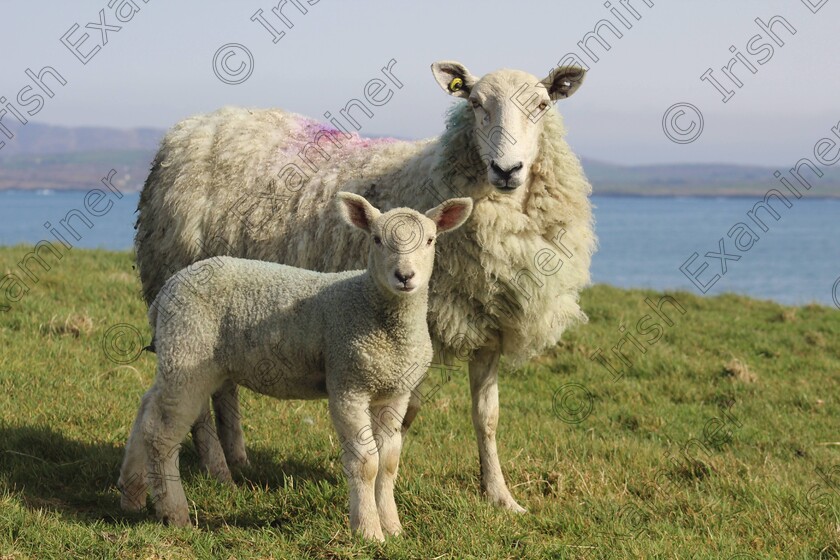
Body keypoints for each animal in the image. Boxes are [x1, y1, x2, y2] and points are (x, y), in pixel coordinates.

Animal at [118, 192, 472, 540]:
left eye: (430, 240)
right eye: (376, 239)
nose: (405, 277)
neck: (371, 306)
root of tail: (165, 294)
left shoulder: (394, 391)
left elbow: (388, 462)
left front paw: (393, 528)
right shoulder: (347, 383)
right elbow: (366, 462)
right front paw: (368, 532)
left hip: (182, 358)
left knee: (147, 410)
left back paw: (132, 494)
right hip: (188, 350)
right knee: (161, 434)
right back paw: (174, 513)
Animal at [135, 60, 596, 512]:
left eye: (542, 105)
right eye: (475, 103)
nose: (506, 170)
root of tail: (193, 126)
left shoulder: (488, 327)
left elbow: (487, 418)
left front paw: (500, 496)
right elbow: (403, 419)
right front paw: (379, 495)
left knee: (223, 387)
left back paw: (237, 461)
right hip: (185, 301)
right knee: (194, 404)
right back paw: (218, 470)